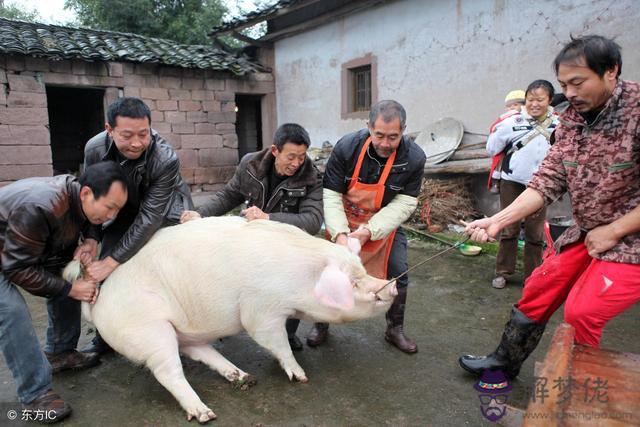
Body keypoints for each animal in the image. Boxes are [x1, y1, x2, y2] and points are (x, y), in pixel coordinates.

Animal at [63, 217, 396, 424]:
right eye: (353, 282)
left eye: (362, 270)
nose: (390, 284)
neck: (301, 278)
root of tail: (99, 303)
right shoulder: (262, 309)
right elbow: (275, 342)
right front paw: (301, 377)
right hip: (150, 331)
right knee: (168, 372)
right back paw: (205, 414)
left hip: (181, 330)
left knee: (199, 350)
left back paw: (244, 378)